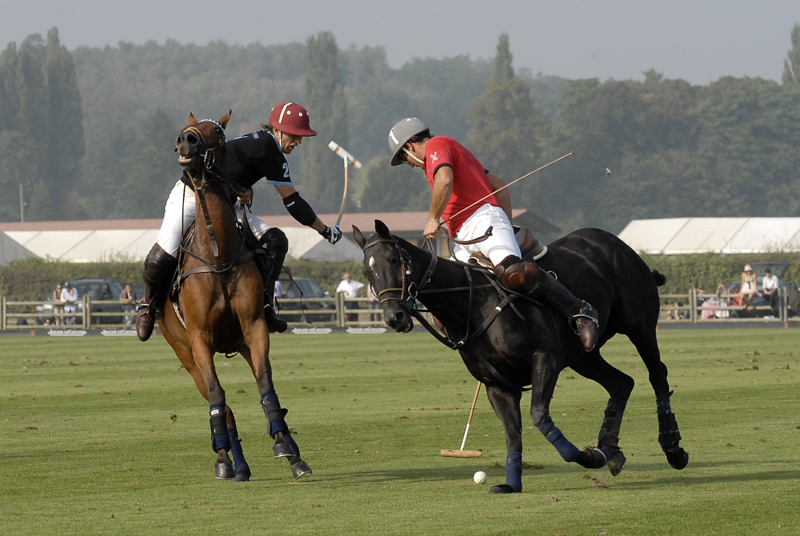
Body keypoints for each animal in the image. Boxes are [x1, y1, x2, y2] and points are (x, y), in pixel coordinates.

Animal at [159, 110, 312, 482]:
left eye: (218, 133)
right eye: (189, 127)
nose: (186, 141)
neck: (219, 258)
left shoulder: (254, 326)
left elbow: (266, 384)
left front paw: (286, 446)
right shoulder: (199, 339)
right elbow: (218, 394)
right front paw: (223, 459)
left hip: (238, 342)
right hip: (184, 352)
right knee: (222, 406)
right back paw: (231, 461)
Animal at [356, 221, 688, 494]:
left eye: (394, 260)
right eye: (366, 272)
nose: (395, 317)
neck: (472, 303)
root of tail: (613, 241)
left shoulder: (546, 358)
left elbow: (539, 416)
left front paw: (588, 456)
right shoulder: (497, 386)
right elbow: (512, 434)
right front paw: (511, 484)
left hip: (639, 326)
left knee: (657, 374)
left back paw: (672, 447)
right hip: (583, 355)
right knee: (622, 382)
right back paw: (612, 450)